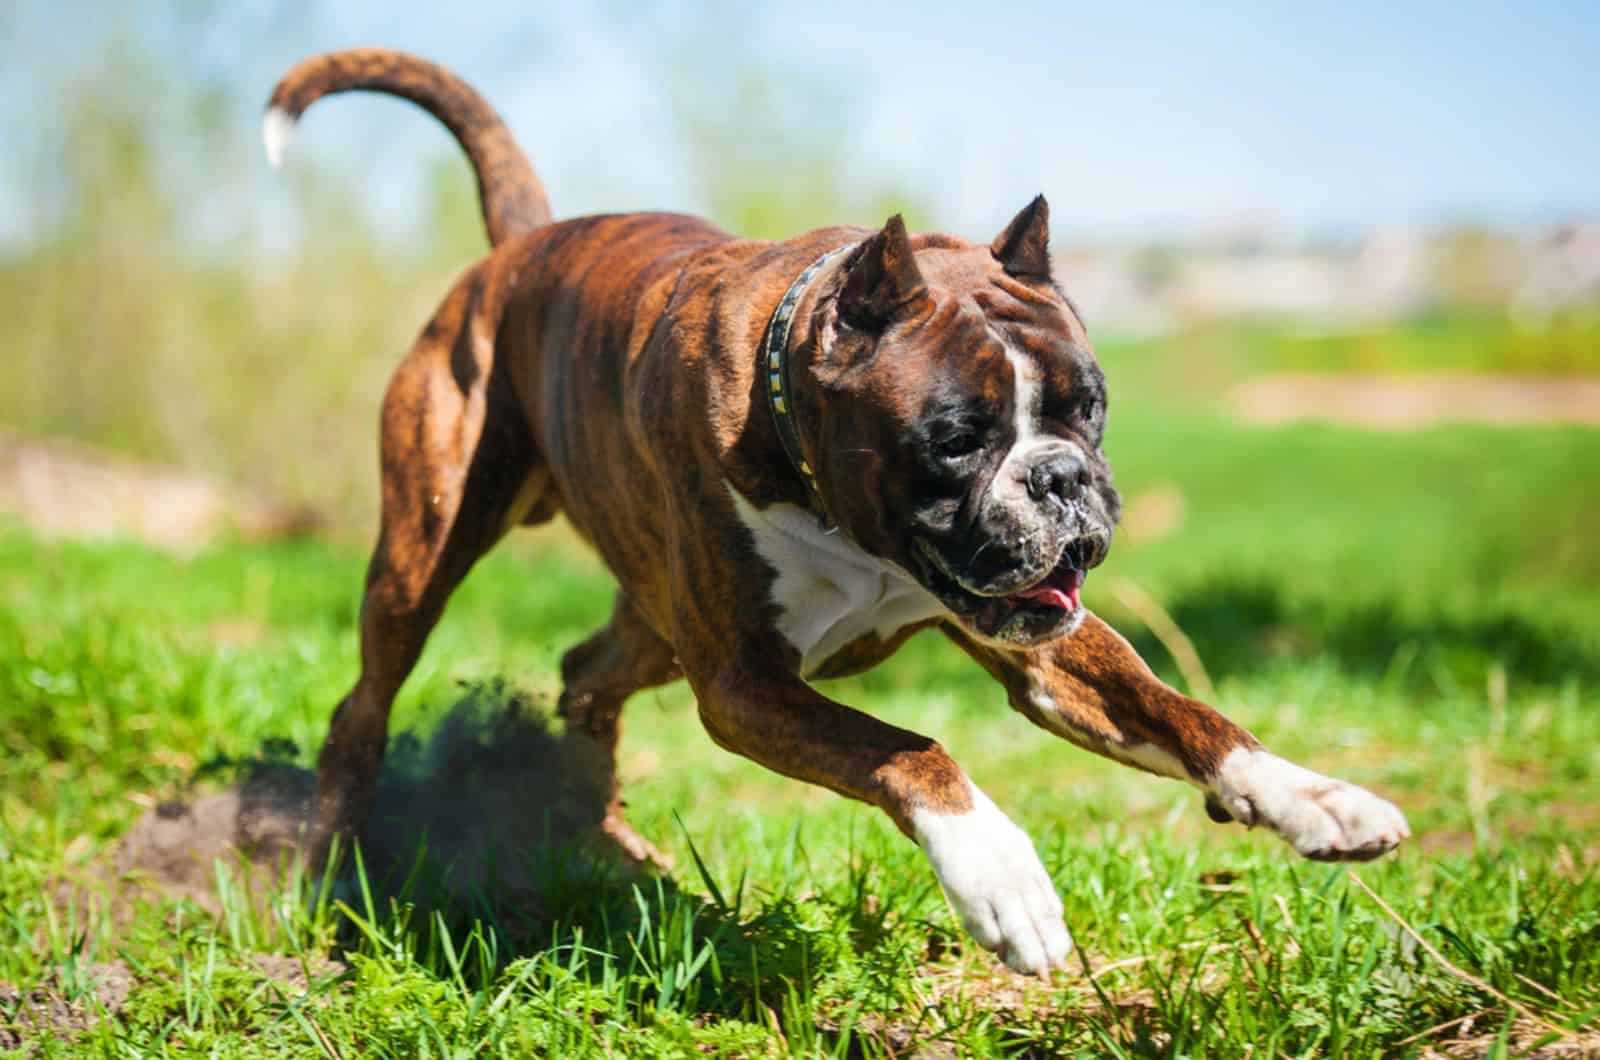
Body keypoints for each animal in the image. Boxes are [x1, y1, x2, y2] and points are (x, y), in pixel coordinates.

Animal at [265, 49, 1414, 979]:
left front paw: (1312, 796)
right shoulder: (746, 686)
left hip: (655, 624)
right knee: (363, 706)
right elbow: (911, 749)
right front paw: (1001, 879)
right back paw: (323, 878)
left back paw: (601, 835)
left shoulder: (1048, 655)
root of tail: (523, 245)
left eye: (1086, 408)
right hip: (422, 557)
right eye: (956, 438)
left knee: (583, 673)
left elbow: (1185, 712)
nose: (1060, 479)